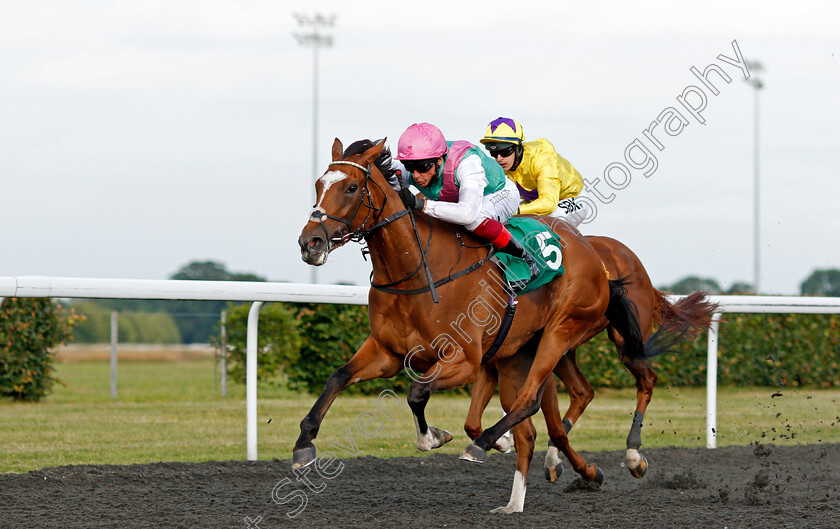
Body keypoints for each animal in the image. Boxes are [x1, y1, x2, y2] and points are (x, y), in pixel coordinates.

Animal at [296, 138, 648, 510]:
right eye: (318, 185)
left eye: (351, 188)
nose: (310, 243)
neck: (418, 272)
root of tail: (595, 256)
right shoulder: (386, 352)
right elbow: (338, 378)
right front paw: (304, 444)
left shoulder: (464, 360)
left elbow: (417, 392)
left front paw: (434, 437)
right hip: (515, 355)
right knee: (537, 427)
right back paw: (527, 496)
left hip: (561, 331)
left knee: (531, 401)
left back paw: (490, 447)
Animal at [466, 233, 716, 488]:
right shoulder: (493, 359)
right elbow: (473, 423)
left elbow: (539, 412)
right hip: (566, 346)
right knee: (583, 392)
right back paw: (556, 457)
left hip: (621, 339)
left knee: (646, 378)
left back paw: (633, 454)